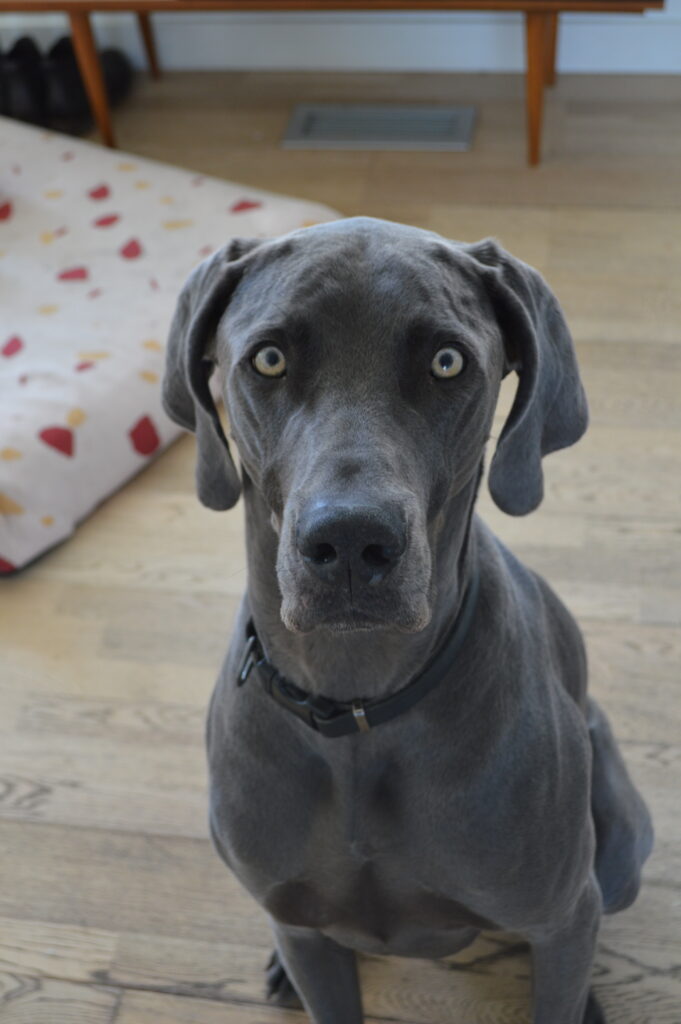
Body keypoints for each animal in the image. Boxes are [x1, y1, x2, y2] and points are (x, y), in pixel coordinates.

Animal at [160, 216, 655, 1024]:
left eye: (447, 363)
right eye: (268, 359)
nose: (350, 541)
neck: (359, 709)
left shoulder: (559, 918)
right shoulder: (305, 930)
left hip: (615, 853)